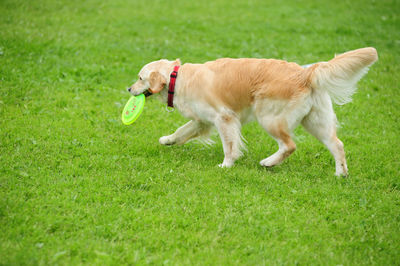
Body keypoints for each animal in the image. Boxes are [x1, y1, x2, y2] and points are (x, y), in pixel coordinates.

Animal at [128, 47, 378, 177]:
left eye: (140, 78)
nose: (128, 89)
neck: (177, 77)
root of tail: (305, 73)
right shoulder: (202, 121)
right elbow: (182, 130)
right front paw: (167, 140)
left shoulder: (224, 117)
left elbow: (229, 146)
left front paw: (226, 165)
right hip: (315, 121)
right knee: (337, 144)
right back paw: (340, 173)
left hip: (268, 117)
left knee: (290, 145)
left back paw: (269, 163)